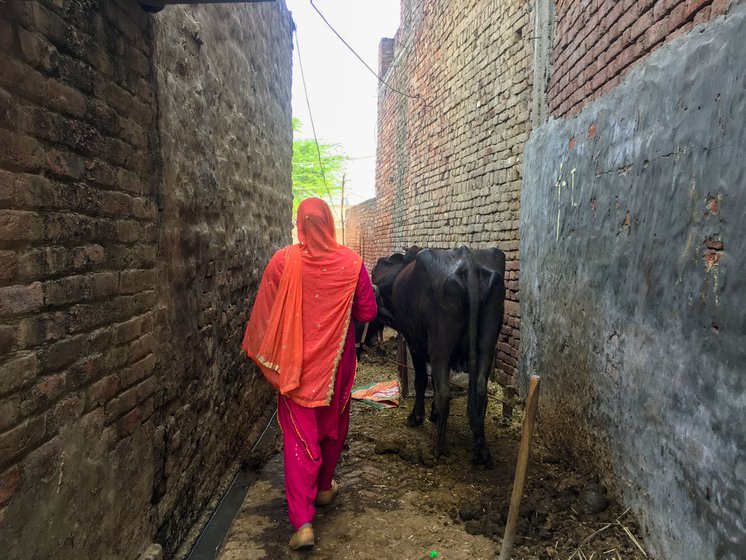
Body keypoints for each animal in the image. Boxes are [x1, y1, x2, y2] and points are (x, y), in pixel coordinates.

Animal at [372, 245, 506, 468]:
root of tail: (468, 261)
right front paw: (433, 414)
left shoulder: (415, 342)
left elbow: (421, 380)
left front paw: (417, 417)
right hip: (486, 345)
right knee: (480, 391)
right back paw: (482, 451)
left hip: (440, 346)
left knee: (444, 392)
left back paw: (439, 448)